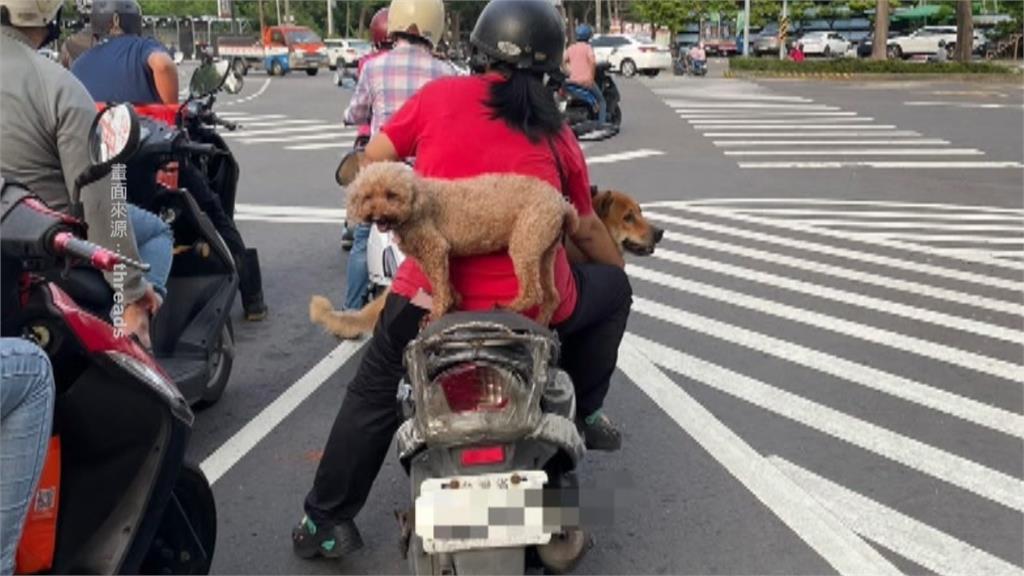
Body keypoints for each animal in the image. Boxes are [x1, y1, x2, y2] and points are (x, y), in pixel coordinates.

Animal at [339, 161, 577, 323]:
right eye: (368, 197)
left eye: (392, 195)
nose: (377, 217)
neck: (417, 200)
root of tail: (562, 204)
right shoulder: (434, 257)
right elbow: (443, 282)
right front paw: (454, 300)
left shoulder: (434, 249)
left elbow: (439, 285)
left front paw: (437, 311)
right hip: (544, 249)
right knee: (551, 296)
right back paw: (541, 321)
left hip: (525, 242)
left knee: (533, 292)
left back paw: (508, 307)